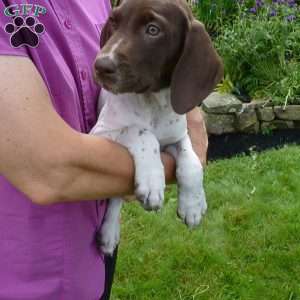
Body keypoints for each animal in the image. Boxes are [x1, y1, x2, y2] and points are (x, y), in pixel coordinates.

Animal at [90, 0, 224, 255]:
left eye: (153, 30)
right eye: (114, 22)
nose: (101, 65)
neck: (152, 104)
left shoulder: (177, 135)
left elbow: (191, 160)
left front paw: (192, 203)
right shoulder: (98, 134)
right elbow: (141, 132)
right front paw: (153, 181)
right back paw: (110, 231)